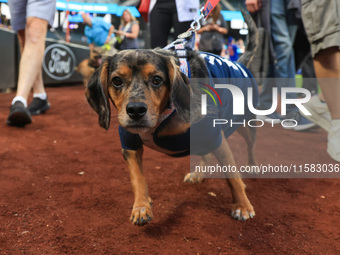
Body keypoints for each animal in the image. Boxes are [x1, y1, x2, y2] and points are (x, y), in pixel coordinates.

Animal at [85, 12, 258, 227]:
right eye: (116, 81)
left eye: (157, 80)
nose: (135, 110)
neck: (163, 116)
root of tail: (241, 63)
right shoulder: (130, 144)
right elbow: (137, 178)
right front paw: (141, 206)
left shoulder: (215, 136)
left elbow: (232, 176)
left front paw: (243, 206)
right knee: (206, 154)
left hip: (244, 125)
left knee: (250, 146)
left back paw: (252, 167)